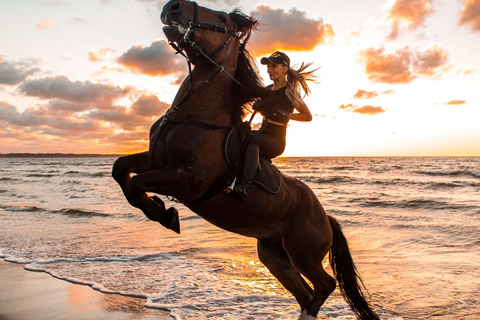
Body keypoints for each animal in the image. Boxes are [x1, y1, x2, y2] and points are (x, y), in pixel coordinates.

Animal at [111, 1, 378, 318]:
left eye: (222, 18)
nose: (172, 7)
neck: (194, 114)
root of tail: (325, 217)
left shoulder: (189, 180)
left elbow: (135, 183)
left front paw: (166, 214)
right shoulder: (158, 162)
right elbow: (121, 170)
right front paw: (160, 209)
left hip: (303, 254)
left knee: (325, 284)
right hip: (274, 256)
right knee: (305, 292)